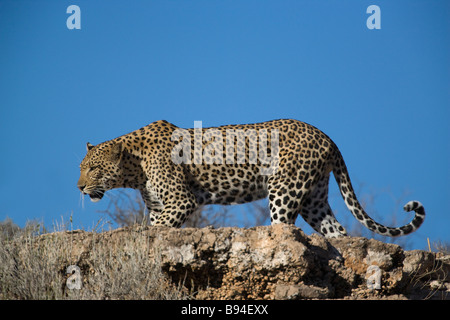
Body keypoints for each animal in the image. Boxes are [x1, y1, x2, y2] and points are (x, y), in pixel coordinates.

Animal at [77, 119, 426, 239]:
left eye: (93, 169)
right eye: (81, 167)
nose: (79, 186)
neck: (133, 169)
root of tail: (326, 136)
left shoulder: (180, 201)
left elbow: (157, 228)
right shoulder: (159, 206)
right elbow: (155, 225)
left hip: (284, 189)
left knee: (284, 225)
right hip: (314, 199)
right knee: (336, 231)